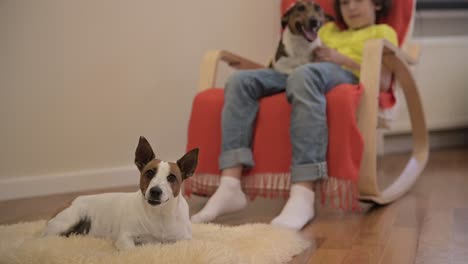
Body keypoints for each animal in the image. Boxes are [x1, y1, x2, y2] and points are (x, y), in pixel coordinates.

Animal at [42, 137, 199, 251]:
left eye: (171, 178)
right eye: (149, 173)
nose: (155, 191)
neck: (159, 215)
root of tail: (71, 201)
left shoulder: (184, 239)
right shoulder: (125, 238)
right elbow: (132, 250)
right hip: (68, 220)